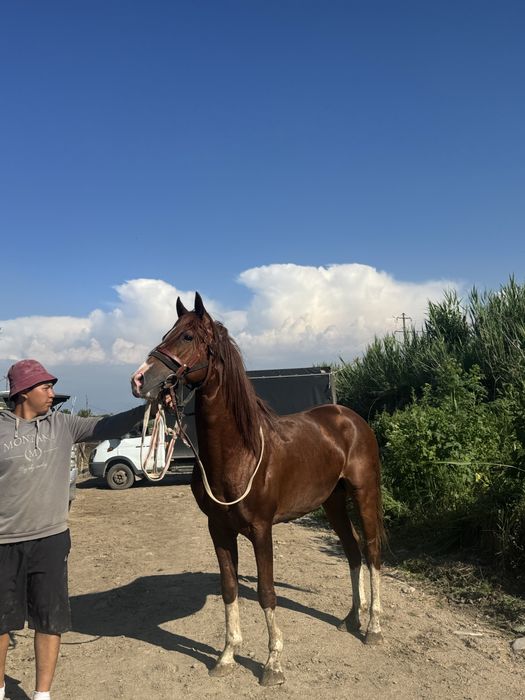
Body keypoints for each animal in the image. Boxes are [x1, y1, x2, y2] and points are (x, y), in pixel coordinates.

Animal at [131, 292, 384, 686]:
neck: (240, 454)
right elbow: (230, 588)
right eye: (165, 334)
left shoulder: (261, 530)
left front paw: (273, 664)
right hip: (333, 502)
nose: (140, 379)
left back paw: (373, 627)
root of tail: (351, 418)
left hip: (364, 493)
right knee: (353, 551)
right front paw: (226, 656)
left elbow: (267, 592)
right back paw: (351, 619)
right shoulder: (219, 529)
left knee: (371, 552)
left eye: (187, 337)